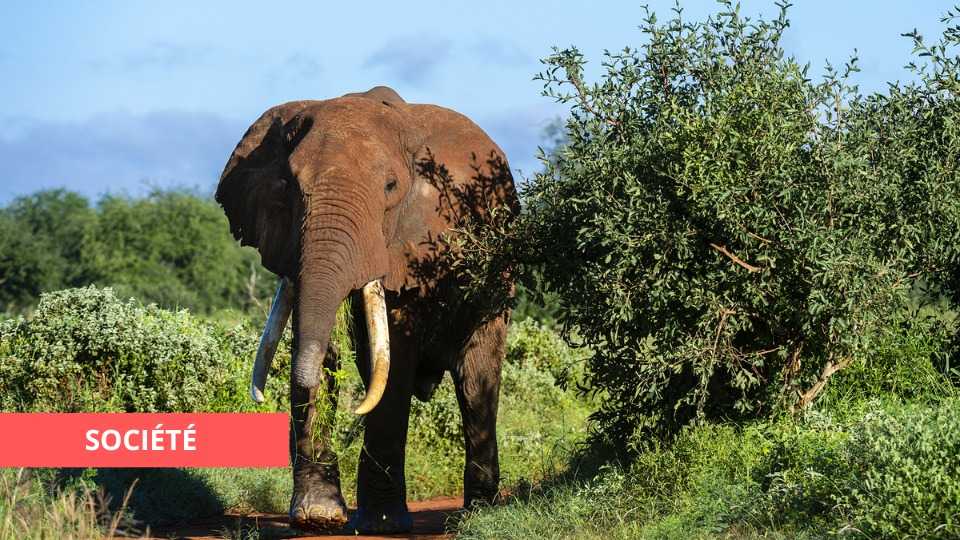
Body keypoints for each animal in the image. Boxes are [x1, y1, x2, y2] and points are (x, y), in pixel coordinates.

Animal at [215, 86, 518, 533]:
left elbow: (395, 355)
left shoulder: (416, 242)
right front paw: (318, 516)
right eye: (287, 186)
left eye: (390, 187)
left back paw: (479, 511)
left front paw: (383, 524)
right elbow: (319, 339)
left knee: (477, 378)